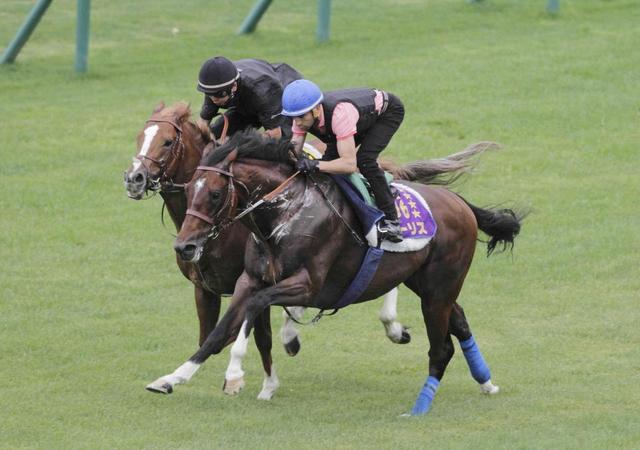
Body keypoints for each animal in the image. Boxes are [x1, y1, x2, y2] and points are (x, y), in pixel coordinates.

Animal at [146, 130, 524, 414]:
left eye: (213, 193)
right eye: (188, 189)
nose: (184, 247)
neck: (284, 213)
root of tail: (459, 202)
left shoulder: (307, 286)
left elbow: (253, 311)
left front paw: (236, 374)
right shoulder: (249, 280)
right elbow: (219, 332)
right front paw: (171, 379)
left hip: (438, 289)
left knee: (441, 347)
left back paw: (419, 406)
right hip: (427, 284)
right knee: (460, 322)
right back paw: (486, 382)